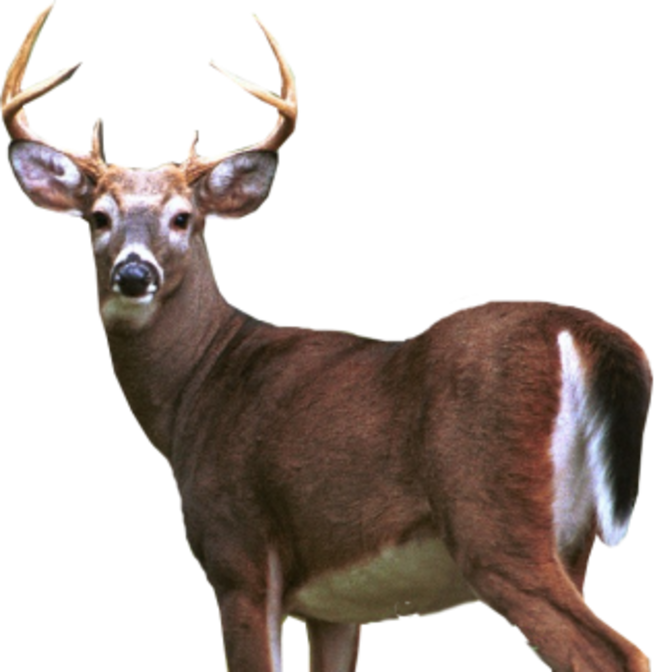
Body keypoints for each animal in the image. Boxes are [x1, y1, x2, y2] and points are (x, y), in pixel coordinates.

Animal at [2, 3, 652, 671]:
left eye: (183, 218)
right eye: (97, 218)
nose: (135, 274)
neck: (195, 390)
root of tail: (583, 330)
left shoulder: (239, 557)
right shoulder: (334, 608)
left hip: (495, 518)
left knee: (616, 651)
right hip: (572, 541)